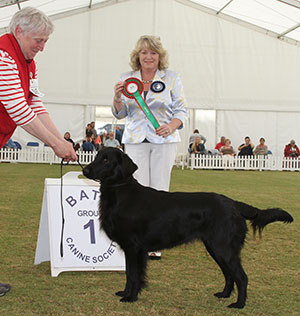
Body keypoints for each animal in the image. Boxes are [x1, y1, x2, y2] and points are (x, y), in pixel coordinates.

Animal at [82, 148, 292, 308]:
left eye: (106, 159)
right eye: (96, 156)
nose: (85, 169)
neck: (120, 192)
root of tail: (233, 203)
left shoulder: (134, 248)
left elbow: (134, 274)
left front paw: (131, 297)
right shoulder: (131, 249)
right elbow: (128, 273)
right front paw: (125, 293)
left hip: (223, 248)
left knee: (241, 276)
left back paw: (239, 304)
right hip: (216, 248)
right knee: (229, 274)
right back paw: (224, 295)